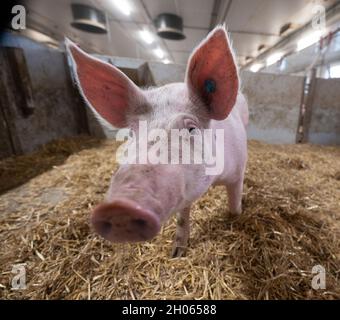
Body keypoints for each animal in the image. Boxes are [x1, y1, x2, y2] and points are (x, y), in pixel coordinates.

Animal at [65, 25, 247, 258]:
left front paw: (237, 216)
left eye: (191, 128)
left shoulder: (238, 171)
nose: (120, 207)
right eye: (131, 134)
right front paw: (176, 254)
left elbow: (234, 204)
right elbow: (182, 218)